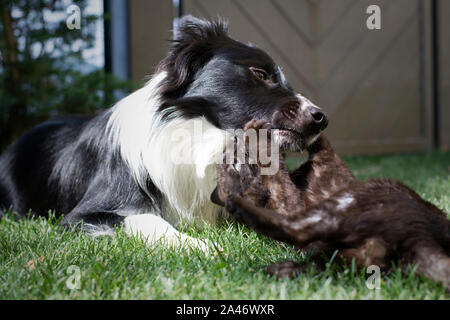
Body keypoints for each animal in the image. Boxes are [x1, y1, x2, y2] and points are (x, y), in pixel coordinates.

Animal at [214, 120, 450, 290]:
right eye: (232, 165)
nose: (230, 146)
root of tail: (422, 238)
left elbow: (321, 144)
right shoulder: (293, 200)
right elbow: (286, 167)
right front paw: (260, 133)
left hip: (345, 252)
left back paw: (279, 269)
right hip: (356, 198)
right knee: (298, 230)